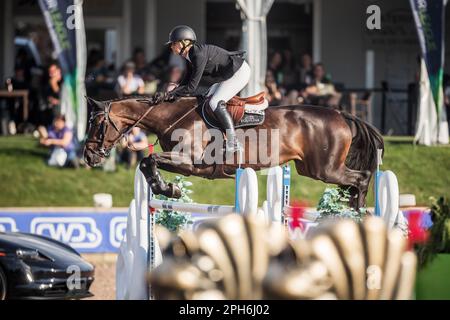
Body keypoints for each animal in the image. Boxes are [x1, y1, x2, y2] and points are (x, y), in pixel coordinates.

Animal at [83, 94, 384, 210]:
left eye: (97, 124)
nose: (88, 156)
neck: (173, 116)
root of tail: (342, 114)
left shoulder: (190, 163)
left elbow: (149, 159)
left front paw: (168, 189)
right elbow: (148, 163)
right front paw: (169, 188)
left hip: (325, 169)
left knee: (361, 178)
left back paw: (359, 212)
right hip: (310, 168)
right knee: (354, 180)